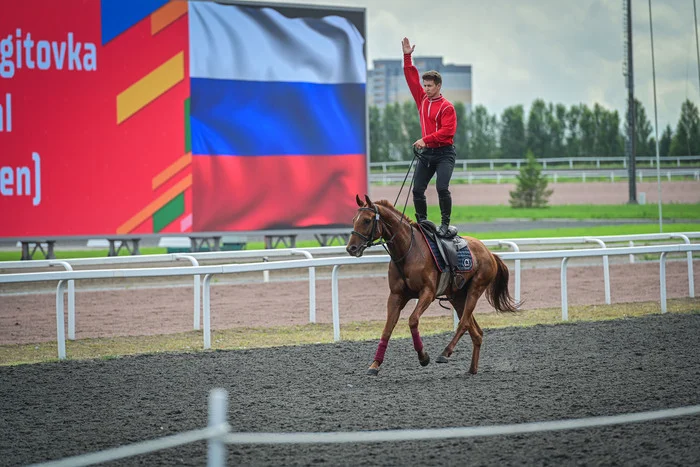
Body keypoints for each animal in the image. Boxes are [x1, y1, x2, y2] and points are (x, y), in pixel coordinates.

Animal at [348, 195, 516, 376]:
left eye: (366, 220)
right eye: (353, 220)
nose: (351, 248)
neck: (408, 251)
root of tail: (489, 253)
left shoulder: (427, 293)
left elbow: (413, 320)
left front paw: (423, 357)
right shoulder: (395, 296)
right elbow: (387, 329)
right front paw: (375, 364)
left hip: (475, 289)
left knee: (464, 323)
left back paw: (445, 353)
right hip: (457, 297)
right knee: (476, 332)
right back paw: (472, 369)